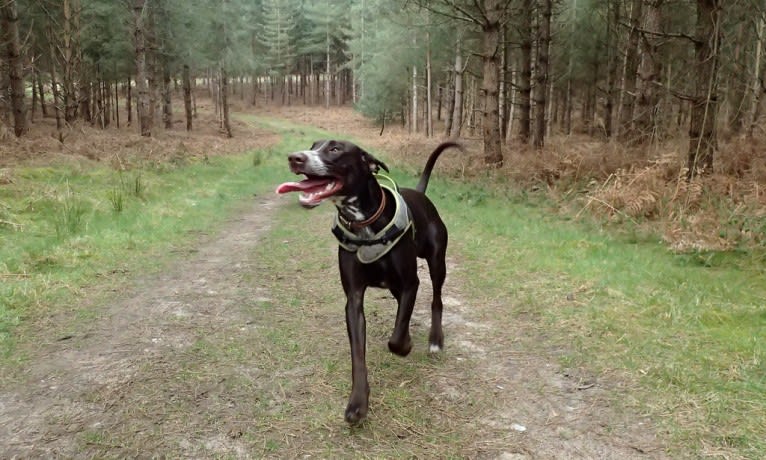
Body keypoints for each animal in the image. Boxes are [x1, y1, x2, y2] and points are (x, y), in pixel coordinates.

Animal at [278, 140, 462, 424]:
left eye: (335, 149)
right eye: (313, 146)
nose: (295, 158)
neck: (364, 222)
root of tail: (420, 194)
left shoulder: (411, 283)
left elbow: (396, 338)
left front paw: (406, 346)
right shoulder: (354, 299)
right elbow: (358, 354)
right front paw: (358, 403)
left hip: (436, 263)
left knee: (437, 299)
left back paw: (435, 339)